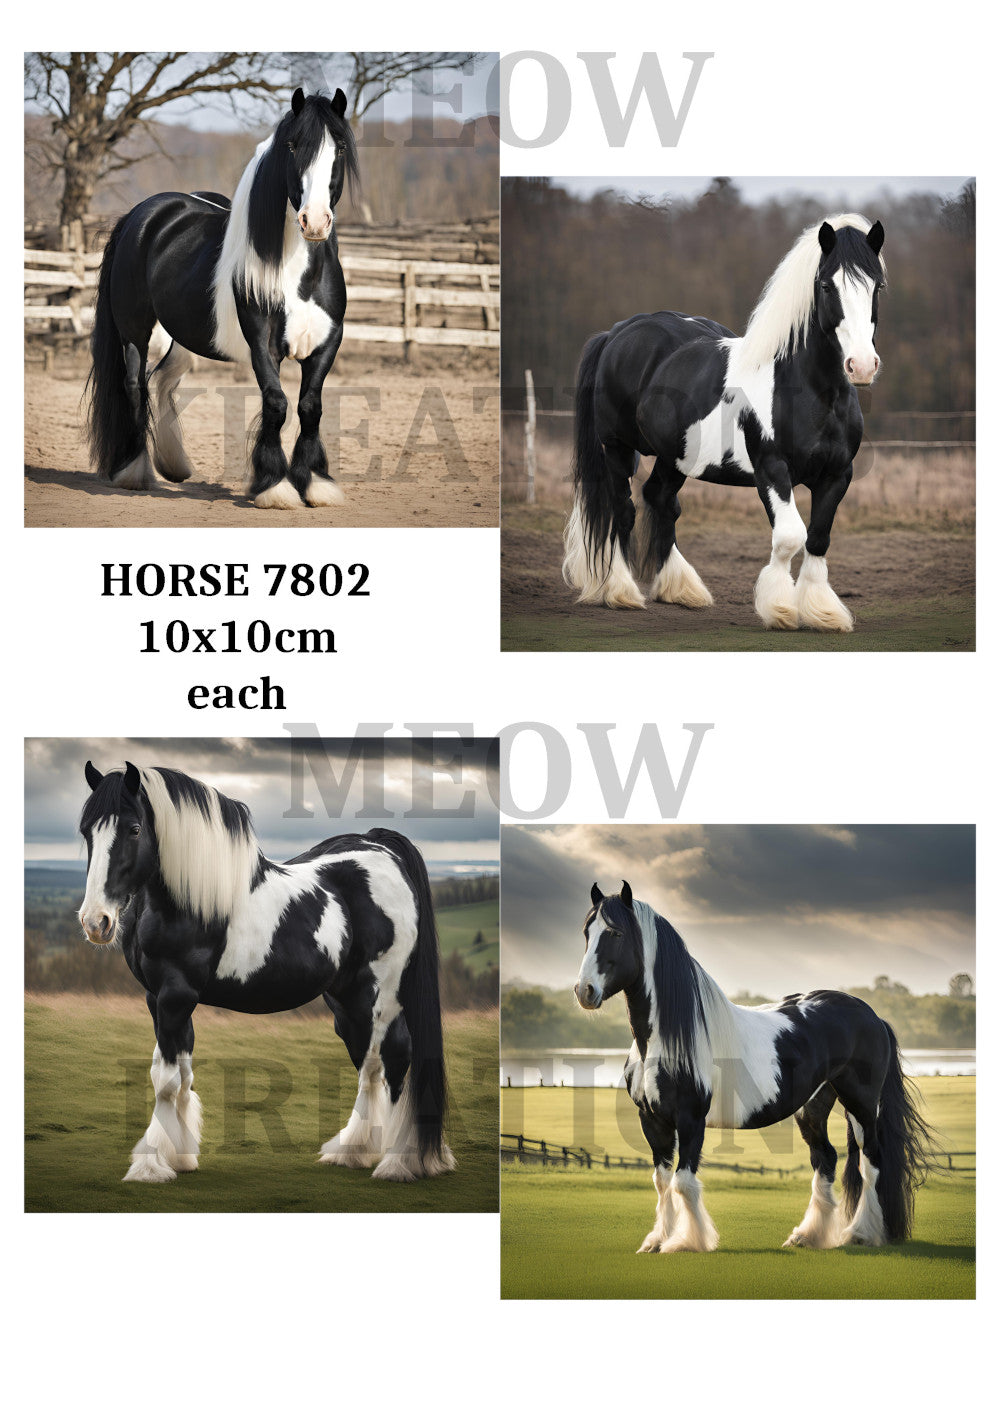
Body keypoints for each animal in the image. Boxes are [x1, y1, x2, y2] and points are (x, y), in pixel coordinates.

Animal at [77, 762, 455, 1184]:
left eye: (134, 829)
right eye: (87, 830)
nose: (96, 922)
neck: (189, 901)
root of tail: (381, 847)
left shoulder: (176, 995)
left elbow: (167, 1081)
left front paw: (150, 1165)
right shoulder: (156, 997)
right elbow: (181, 1074)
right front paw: (180, 1157)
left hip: (384, 995)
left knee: (395, 1056)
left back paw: (397, 1163)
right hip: (348, 1001)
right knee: (367, 1065)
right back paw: (352, 1152)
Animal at [85, 87, 359, 510]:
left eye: (340, 148)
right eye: (293, 146)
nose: (314, 221)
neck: (301, 277)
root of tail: (142, 215)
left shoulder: (327, 343)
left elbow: (310, 407)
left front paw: (316, 483)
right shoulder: (263, 343)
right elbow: (276, 403)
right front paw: (274, 486)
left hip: (183, 337)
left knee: (164, 380)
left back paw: (174, 465)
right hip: (134, 331)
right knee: (135, 385)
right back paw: (134, 471)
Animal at [562, 214, 886, 632]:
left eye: (877, 285)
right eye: (827, 285)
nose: (861, 366)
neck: (808, 390)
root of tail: (616, 333)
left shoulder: (837, 474)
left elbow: (818, 537)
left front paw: (822, 612)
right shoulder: (772, 470)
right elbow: (789, 537)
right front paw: (780, 609)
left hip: (675, 455)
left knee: (660, 499)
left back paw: (681, 589)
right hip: (616, 447)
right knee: (623, 509)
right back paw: (621, 592)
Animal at [574, 882, 935, 1252]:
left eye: (616, 933)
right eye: (587, 932)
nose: (584, 991)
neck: (665, 1041)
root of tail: (872, 1015)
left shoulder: (691, 1120)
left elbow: (682, 1182)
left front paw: (688, 1242)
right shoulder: (653, 1120)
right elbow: (662, 1182)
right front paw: (657, 1241)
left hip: (861, 1104)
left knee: (870, 1162)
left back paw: (861, 1234)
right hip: (813, 1107)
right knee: (826, 1159)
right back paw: (807, 1236)